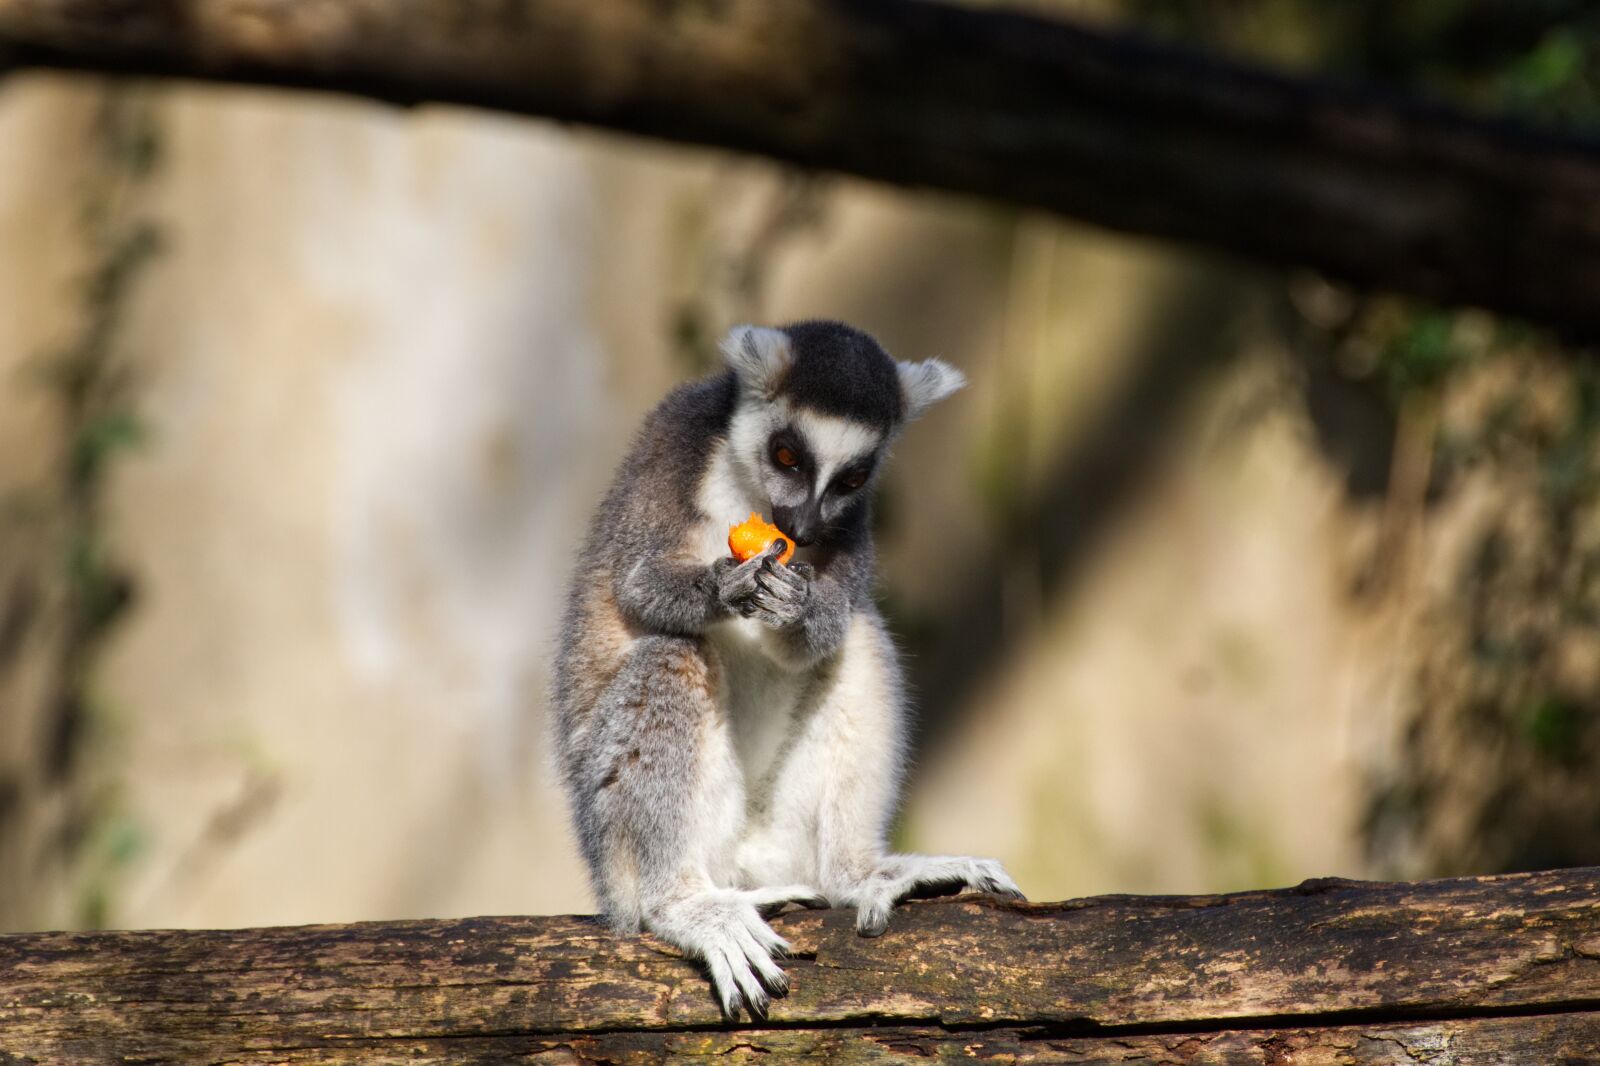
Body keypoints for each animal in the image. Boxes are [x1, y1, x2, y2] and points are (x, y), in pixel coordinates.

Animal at [552, 320, 1023, 1020]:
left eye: (852, 479)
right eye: (786, 456)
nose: (800, 525)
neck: (750, 491)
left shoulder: (853, 526)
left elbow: (817, 635)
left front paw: (794, 607)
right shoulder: (674, 445)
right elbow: (639, 586)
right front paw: (726, 589)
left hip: (781, 831)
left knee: (858, 636)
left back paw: (857, 874)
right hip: (608, 836)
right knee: (672, 654)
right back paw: (683, 904)